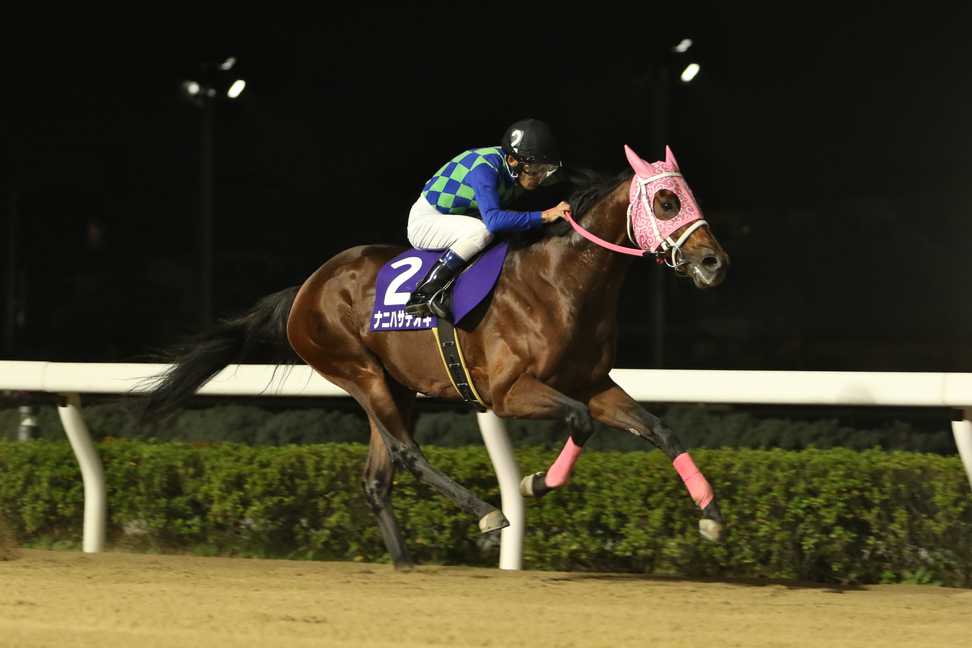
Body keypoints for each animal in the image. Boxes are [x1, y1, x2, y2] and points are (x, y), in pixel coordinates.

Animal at [144, 146, 728, 568]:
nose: (714, 262)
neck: (561, 282)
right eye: (667, 201)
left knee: (377, 477)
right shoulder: (507, 393)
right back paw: (487, 513)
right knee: (406, 455)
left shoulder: (592, 381)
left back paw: (405, 563)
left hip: (395, 385)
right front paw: (533, 483)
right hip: (356, 371)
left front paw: (711, 514)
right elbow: (580, 422)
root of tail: (307, 288)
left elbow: (658, 428)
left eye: (688, 196)